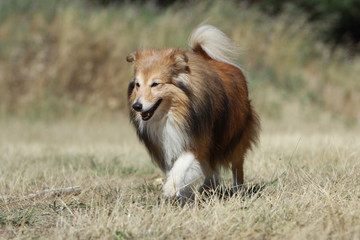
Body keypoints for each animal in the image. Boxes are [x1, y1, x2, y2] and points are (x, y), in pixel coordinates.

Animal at [126, 24, 258, 202]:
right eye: (138, 84)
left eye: (155, 84)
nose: (137, 106)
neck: (172, 114)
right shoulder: (171, 141)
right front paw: (181, 194)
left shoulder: (196, 138)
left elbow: (183, 164)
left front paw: (171, 188)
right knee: (211, 168)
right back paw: (208, 188)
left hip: (233, 135)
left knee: (236, 165)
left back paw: (238, 190)